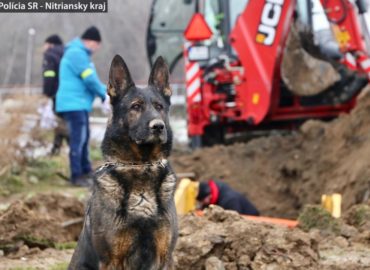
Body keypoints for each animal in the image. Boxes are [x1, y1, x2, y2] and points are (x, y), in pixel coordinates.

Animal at [69, 55, 179, 270]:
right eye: (135, 107)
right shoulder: (112, 259)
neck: (141, 166)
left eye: (159, 107)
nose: (158, 126)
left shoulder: (165, 256)